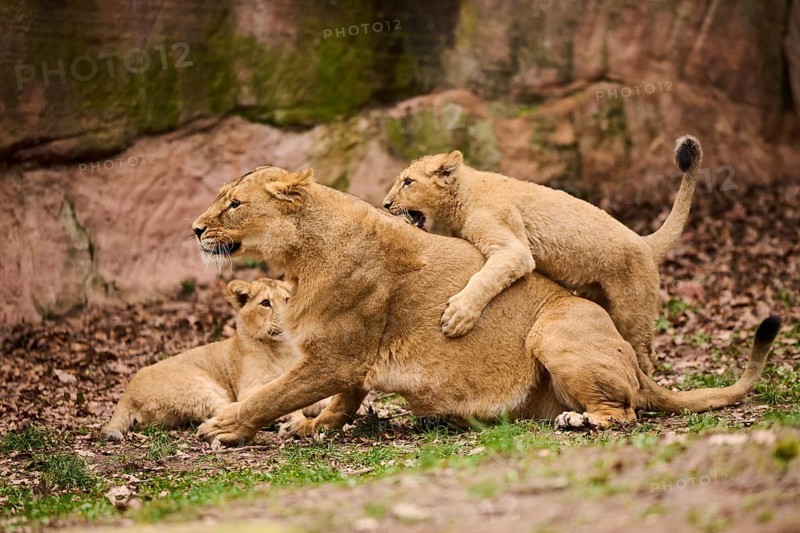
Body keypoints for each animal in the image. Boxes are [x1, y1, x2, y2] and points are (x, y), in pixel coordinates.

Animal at [101, 278, 324, 440]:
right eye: (265, 303)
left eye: (287, 300)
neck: (282, 349)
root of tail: (127, 393)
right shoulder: (249, 387)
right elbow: (272, 398)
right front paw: (295, 419)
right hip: (197, 387)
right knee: (229, 409)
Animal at [189, 165, 779, 446]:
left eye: (234, 205)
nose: (195, 229)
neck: (299, 255)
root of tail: (636, 364)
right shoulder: (348, 362)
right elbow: (341, 402)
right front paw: (312, 427)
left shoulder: (335, 356)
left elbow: (273, 394)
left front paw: (225, 427)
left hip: (556, 329)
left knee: (627, 411)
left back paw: (581, 422)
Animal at [382, 136, 702, 375]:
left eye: (408, 182)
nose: (385, 204)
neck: (461, 196)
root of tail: (644, 241)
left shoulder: (514, 249)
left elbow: (485, 278)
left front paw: (458, 316)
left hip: (633, 312)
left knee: (645, 356)